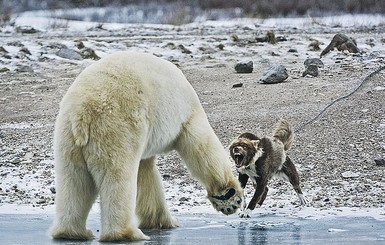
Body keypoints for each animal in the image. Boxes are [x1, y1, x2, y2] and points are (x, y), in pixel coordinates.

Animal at [50, 51, 243, 241]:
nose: (231, 207)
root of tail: (83, 113)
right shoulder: (187, 115)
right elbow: (201, 146)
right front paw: (229, 195)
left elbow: (146, 173)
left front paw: (161, 220)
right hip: (117, 128)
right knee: (118, 175)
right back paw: (127, 234)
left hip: (68, 138)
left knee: (74, 181)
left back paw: (72, 232)